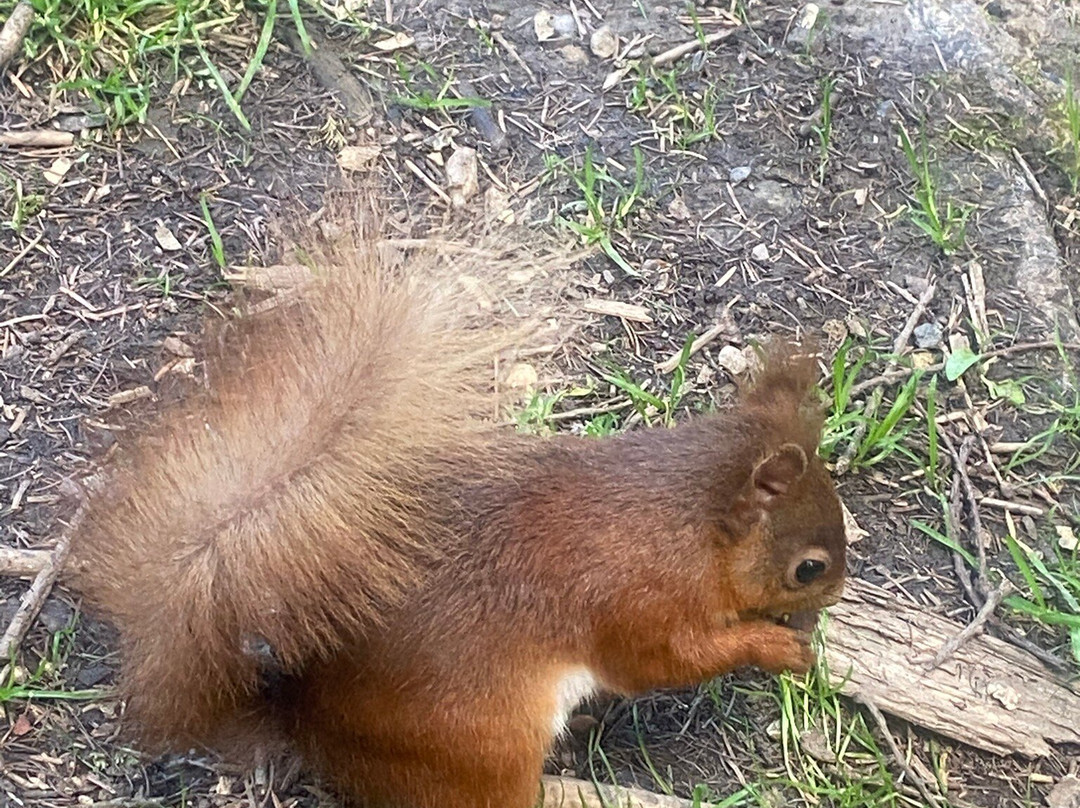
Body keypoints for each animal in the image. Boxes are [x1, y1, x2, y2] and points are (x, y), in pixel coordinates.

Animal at [68, 212, 847, 808]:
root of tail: (302, 722)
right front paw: (778, 647)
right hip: (482, 748)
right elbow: (668, 660)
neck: (686, 517)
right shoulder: (639, 604)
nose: (833, 598)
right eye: (809, 568)